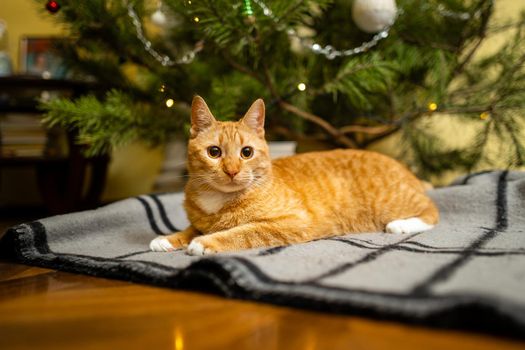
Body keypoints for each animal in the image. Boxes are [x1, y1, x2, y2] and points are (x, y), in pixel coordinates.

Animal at [149, 97, 436, 256]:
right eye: (214, 152)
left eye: (246, 152)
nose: (231, 170)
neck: (218, 201)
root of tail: (403, 168)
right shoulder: (200, 220)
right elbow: (190, 228)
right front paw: (168, 238)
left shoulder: (291, 222)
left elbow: (242, 231)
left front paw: (205, 242)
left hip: (393, 202)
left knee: (432, 212)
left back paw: (402, 225)